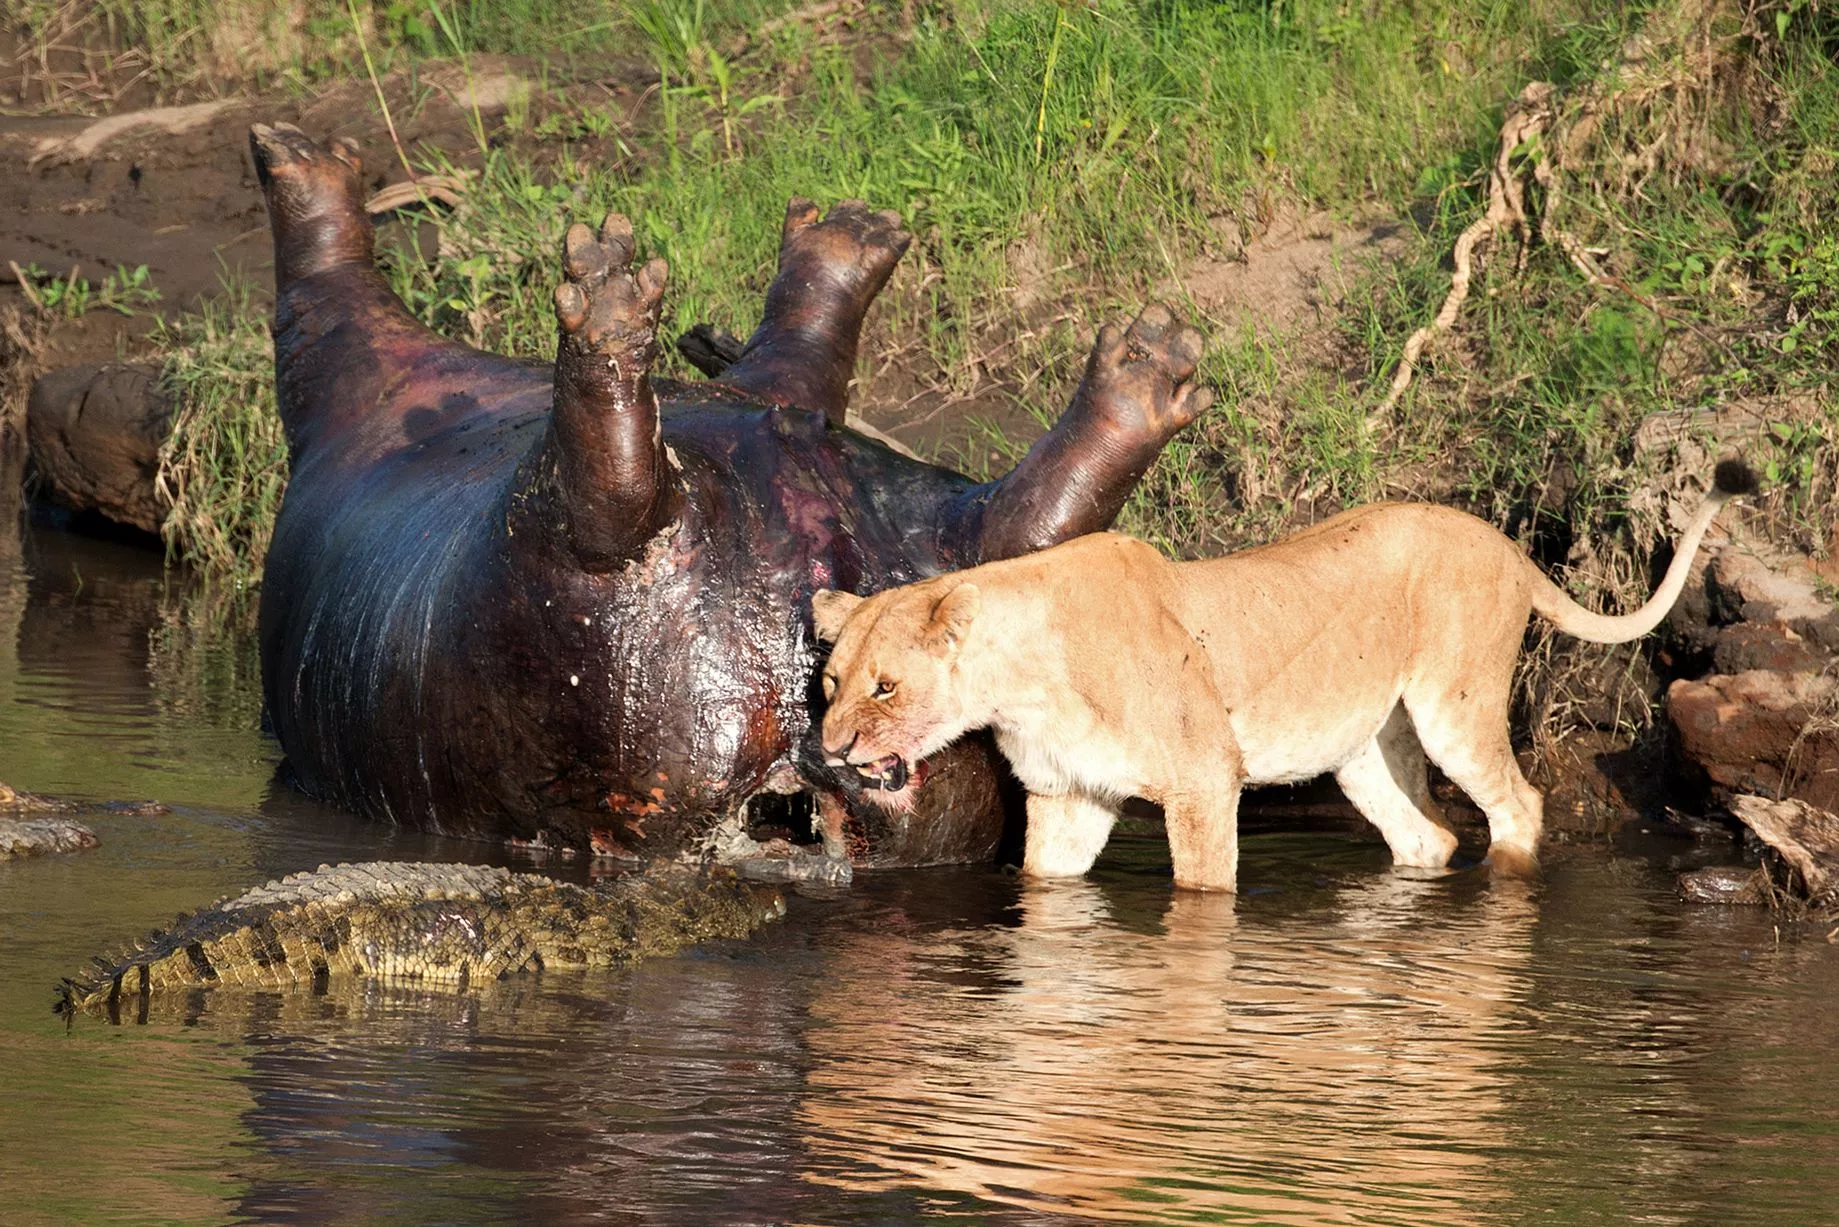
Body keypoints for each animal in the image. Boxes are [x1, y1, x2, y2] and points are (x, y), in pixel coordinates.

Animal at [811, 461, 1756, 891]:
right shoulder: (1069, 795)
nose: (829, 748)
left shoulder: (1203, 776)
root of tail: (1505, 544)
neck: (1021, 682)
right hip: (1366, 748)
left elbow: (1201, 890)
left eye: (885, 686)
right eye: (830, 683)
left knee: (1517, 804)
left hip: (1453, 706)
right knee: (1428, 836)